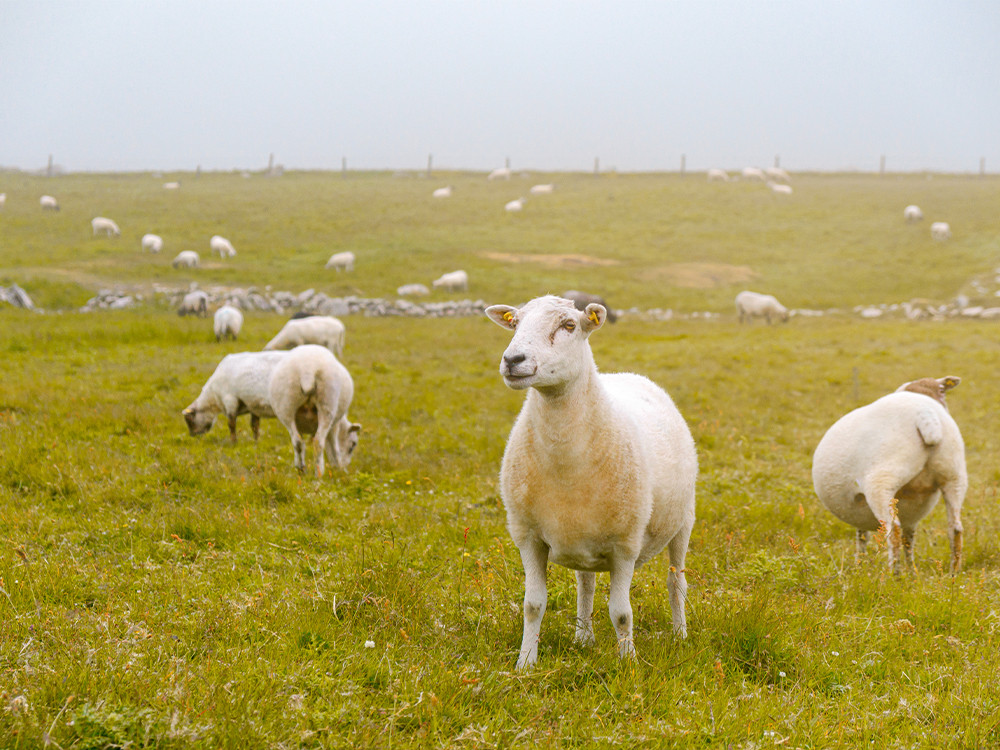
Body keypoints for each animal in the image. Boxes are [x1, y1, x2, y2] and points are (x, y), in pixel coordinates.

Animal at [268, 346, 362, 476]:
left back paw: (301, 469)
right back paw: (319, 473)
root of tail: (307, 369)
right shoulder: (334, 425)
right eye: (353, 445)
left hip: (286, 407)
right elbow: (334, 445)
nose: (344, 466)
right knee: (318, 442)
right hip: (327, 404)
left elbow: (302, 443)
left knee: (297, 441)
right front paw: (337, 465)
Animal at [484, 296, 696, 672]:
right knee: (586, 583)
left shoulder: (625, 545)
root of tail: (627, 375)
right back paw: (583, 637)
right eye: (516, 322)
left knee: (676, 581)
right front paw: (525, 663)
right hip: (584, 538)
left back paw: (680, 634)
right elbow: (533, 604)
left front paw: (628, 664)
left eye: (569, 325)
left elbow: (622, 613)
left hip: (684, 519)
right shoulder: (527, 536)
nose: (512, 360)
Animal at [812, 376, 968, 576]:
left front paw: (859, 567)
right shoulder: (910, 515)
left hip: (882, 480)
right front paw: (913, 573)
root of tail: (924, 413)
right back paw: (953, 573)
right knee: (955, 528)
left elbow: (863, 537)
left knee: (893, 529)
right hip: (954, 475)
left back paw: (893, 575)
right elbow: (907, 541)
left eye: (943, 391)